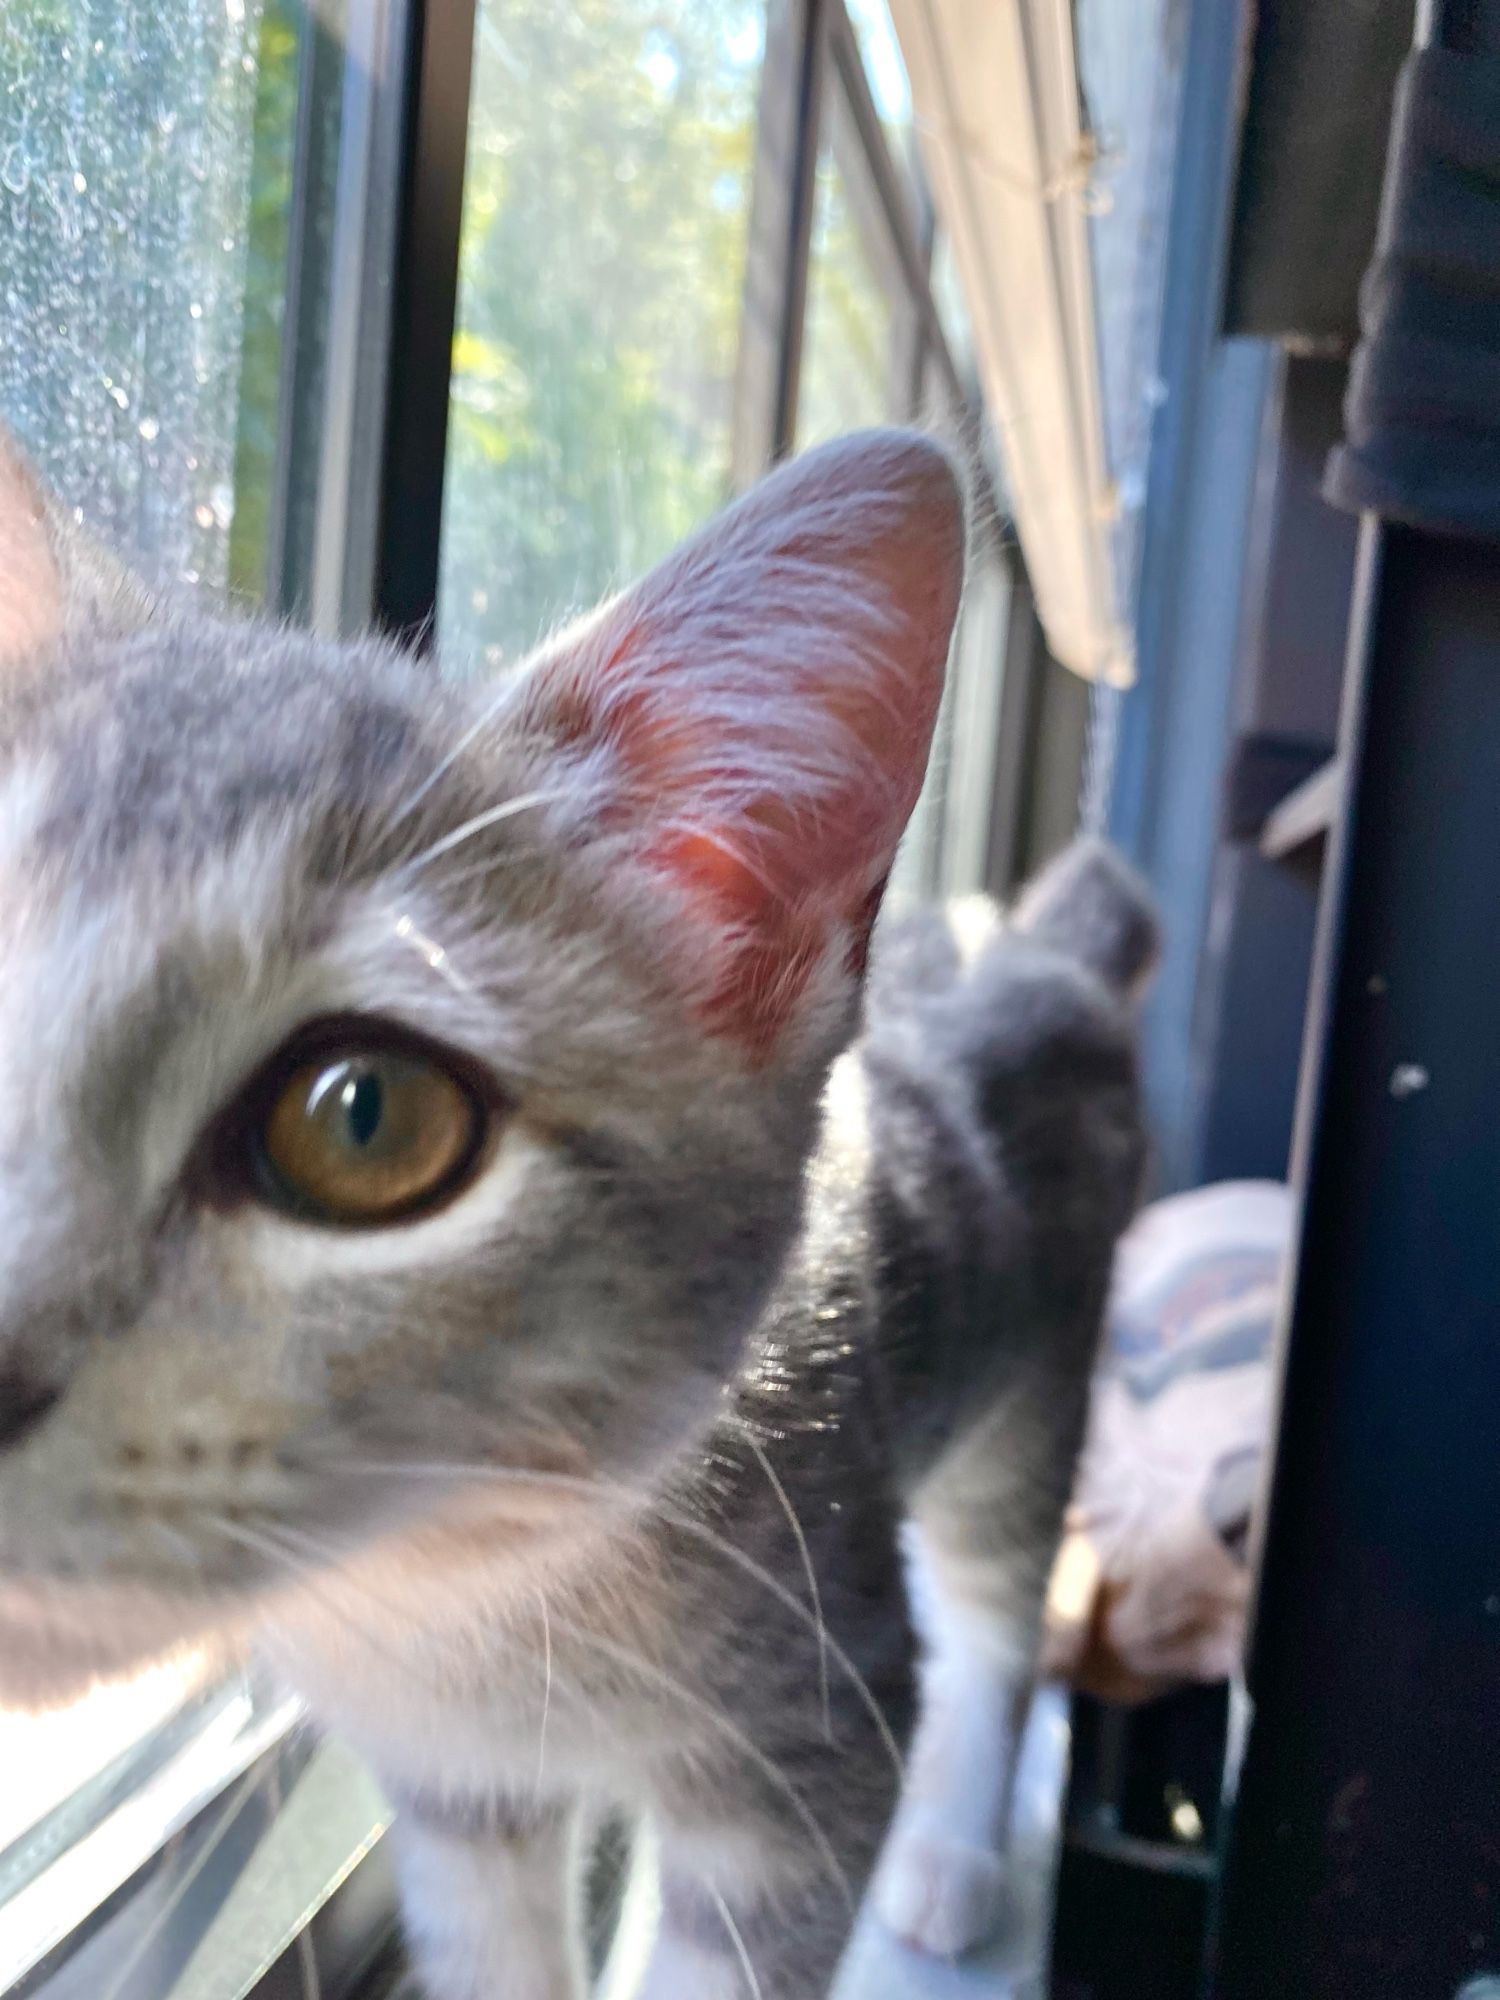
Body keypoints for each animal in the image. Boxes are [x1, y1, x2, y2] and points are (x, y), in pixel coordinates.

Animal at [0, 430, 1160, 1992]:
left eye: (364, 1115)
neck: (450, 1609)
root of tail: (1031, 944)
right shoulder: (456, 1792)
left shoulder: (815, 1733)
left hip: (1030, 1398)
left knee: (995, 1615)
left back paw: (954, 1854)